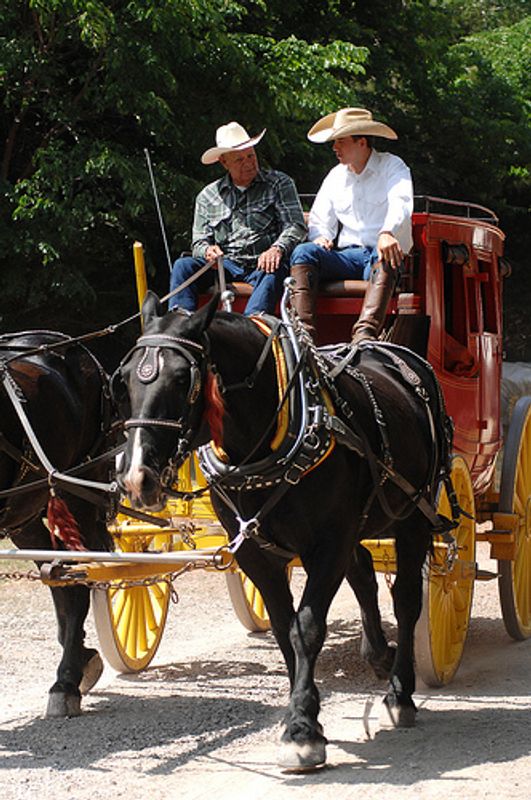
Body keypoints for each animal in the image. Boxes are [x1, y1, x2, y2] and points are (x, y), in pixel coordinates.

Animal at [116, 292, 454, 768]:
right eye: (125, 378)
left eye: (183, 378)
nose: (136, 477)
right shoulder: (254, 551)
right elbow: (282, 627)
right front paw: (304, 713)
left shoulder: (328, 544)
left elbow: (306, 628)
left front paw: (301, 729)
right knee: (364, 573)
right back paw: (377, 654)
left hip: (415, 515)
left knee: (406, 601)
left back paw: (400, 692)